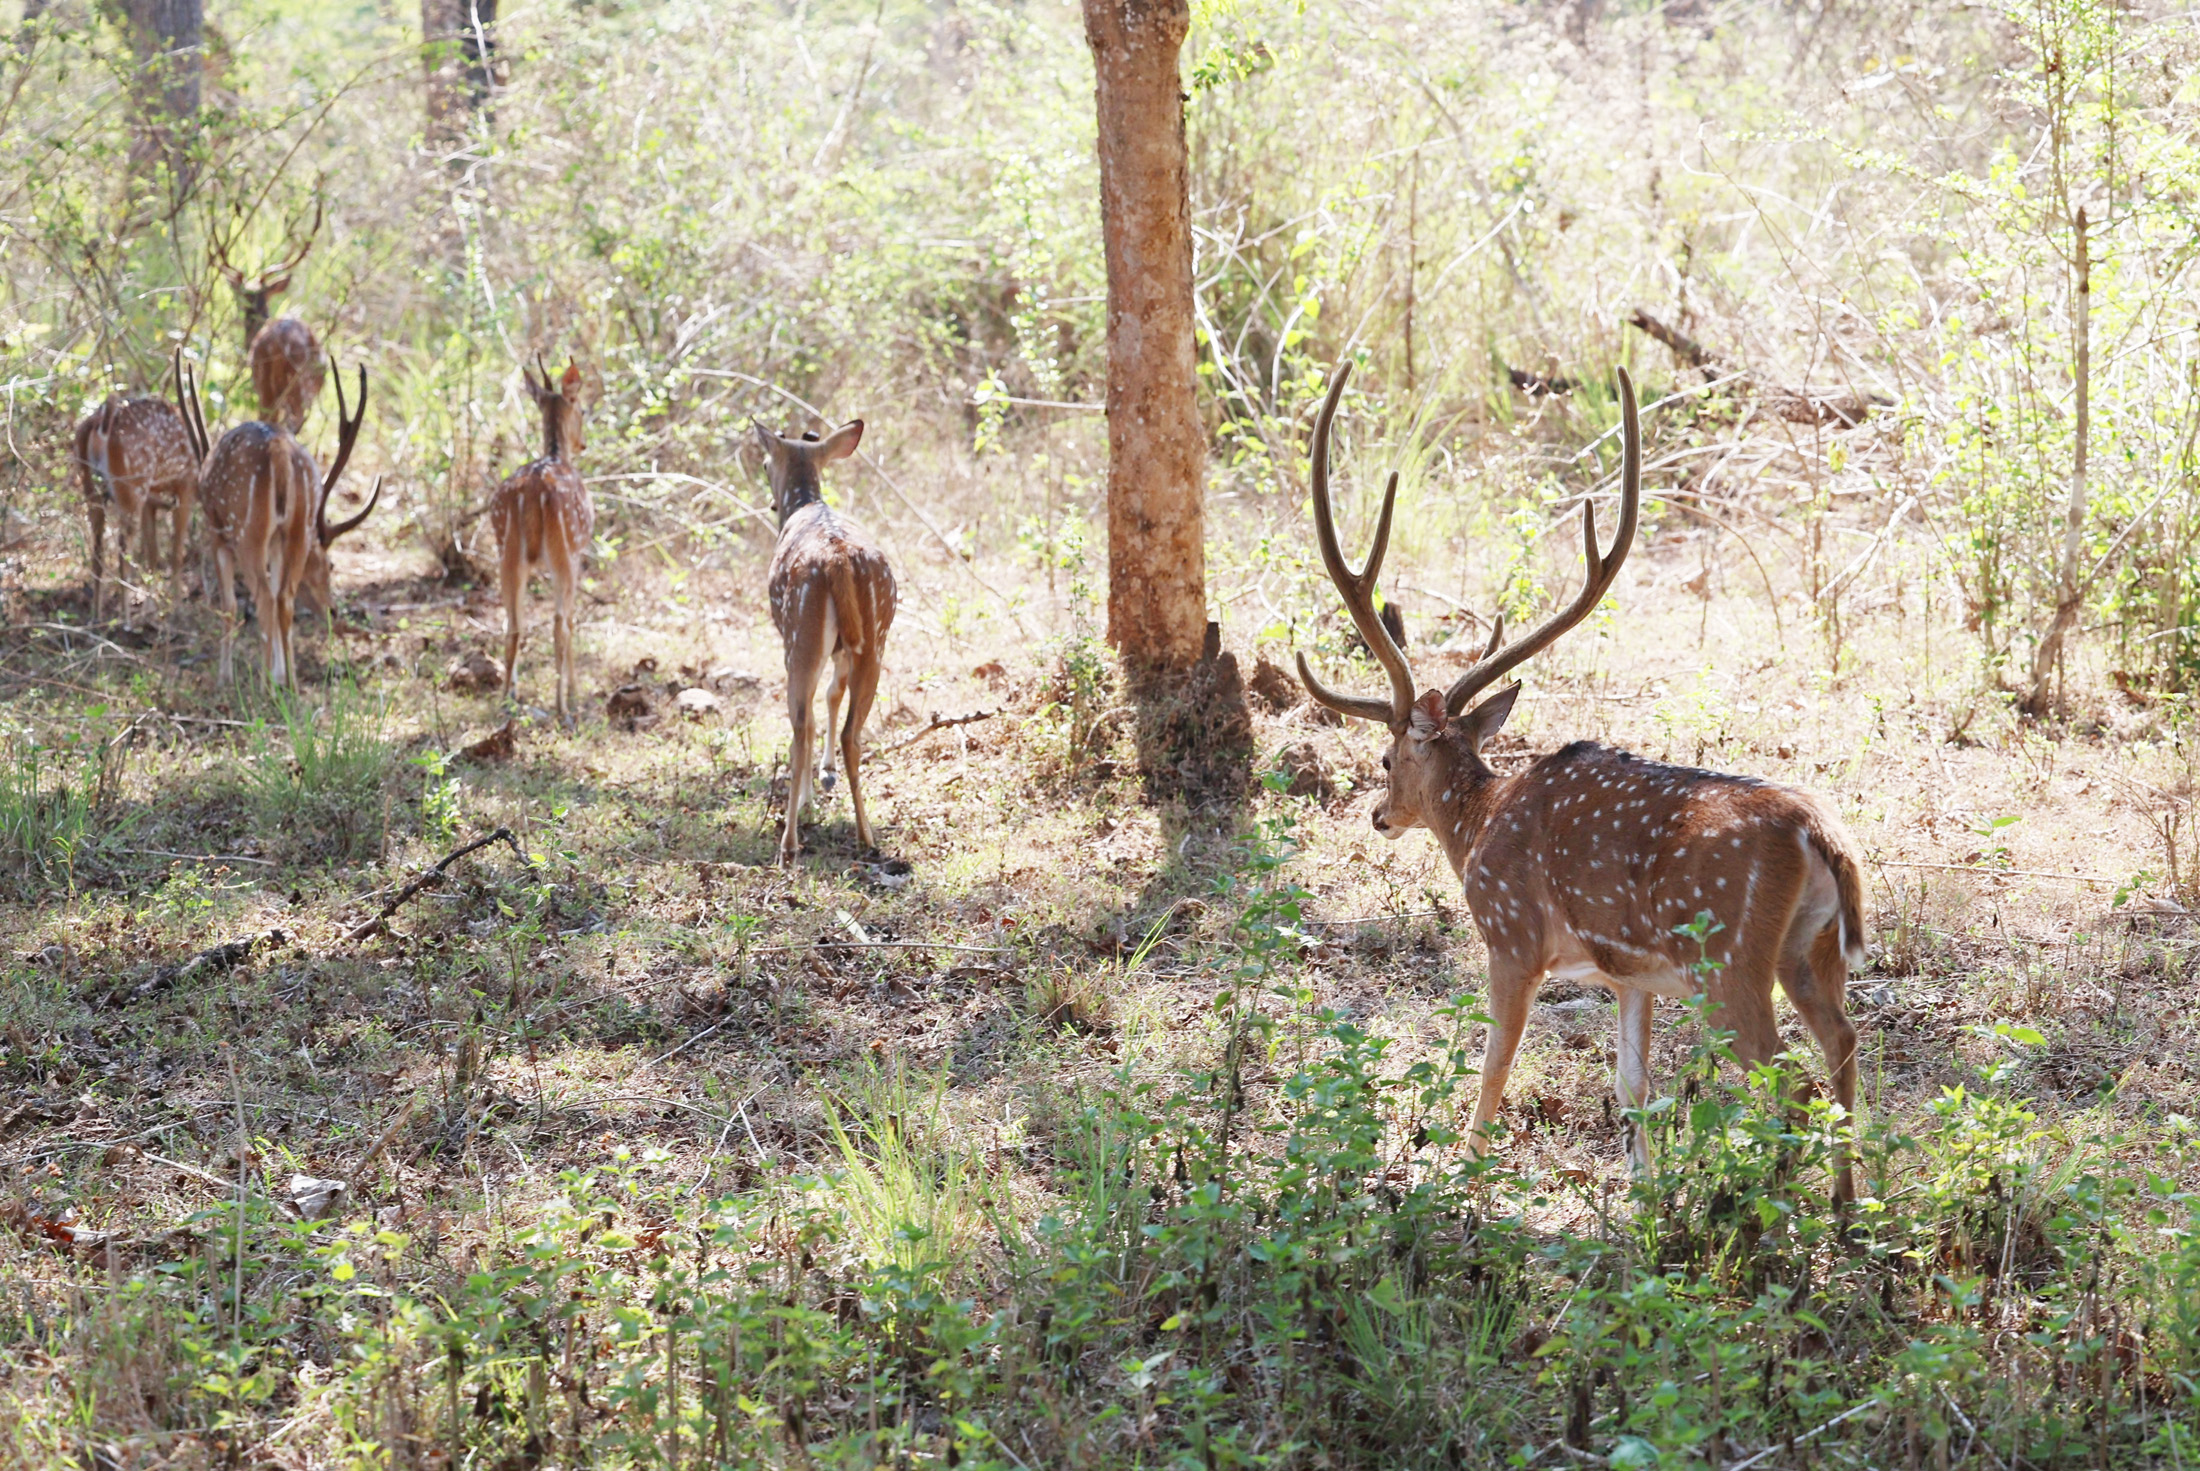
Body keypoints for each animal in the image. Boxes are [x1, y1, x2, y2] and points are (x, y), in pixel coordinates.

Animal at [75, 358, 204, 628]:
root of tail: (100, 425)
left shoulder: (150, 498)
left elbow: (153, 554)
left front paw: (151, 612)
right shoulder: (185, 486)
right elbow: (175, 553)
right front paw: (176, 611)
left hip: (93, 488)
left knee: (98, 546)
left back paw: (96, 615)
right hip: (131, 485)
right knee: (123, 545)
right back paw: (126, 620)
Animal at [187, 358, 385, 686]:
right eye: (331, 565)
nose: (333, 611)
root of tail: (278, 449)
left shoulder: (216, 533)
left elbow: (228, 605)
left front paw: (225, 678)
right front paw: (280, 674)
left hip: (248, 532)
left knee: (264, 598)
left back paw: (264, 686)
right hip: (295, 529)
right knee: (284, 597)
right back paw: (289, 683)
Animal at [488, 356, 594, 721]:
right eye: (583, 409)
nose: (582, 444)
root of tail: (534, 490)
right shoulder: (578, 554)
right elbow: (572, 620)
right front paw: (575, 692)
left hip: (506, 551)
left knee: (512, 624)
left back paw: (507, 698)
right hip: (563, 550)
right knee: (559, 623)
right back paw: (563, 706)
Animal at [756, 415, 893, 861]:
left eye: (766, 463)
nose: (771, 504)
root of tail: (837, 560)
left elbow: (813, 715)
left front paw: (809, 798)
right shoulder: (842, 650)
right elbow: (834, 694)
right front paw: (827, 774)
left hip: (801, 634)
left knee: (801, 725)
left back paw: (789, 842)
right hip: (875, 638)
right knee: (852, 731)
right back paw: (867, 835)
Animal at [1293, 360, 1865, 1196]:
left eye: (1385, 758)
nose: (1378, 814)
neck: (1477, 826)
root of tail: (1818, 834)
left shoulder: (1511, 936)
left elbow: (1494, 1065)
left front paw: (1462, 1176)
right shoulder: (1630, 974)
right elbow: (1632, 1086)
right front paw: (1644, 1192)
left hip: (1728, 959)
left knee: (1788, 1080)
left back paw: (1778, 1208)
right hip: (1810, 949)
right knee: (1844, 1044)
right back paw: (1850, 1207)